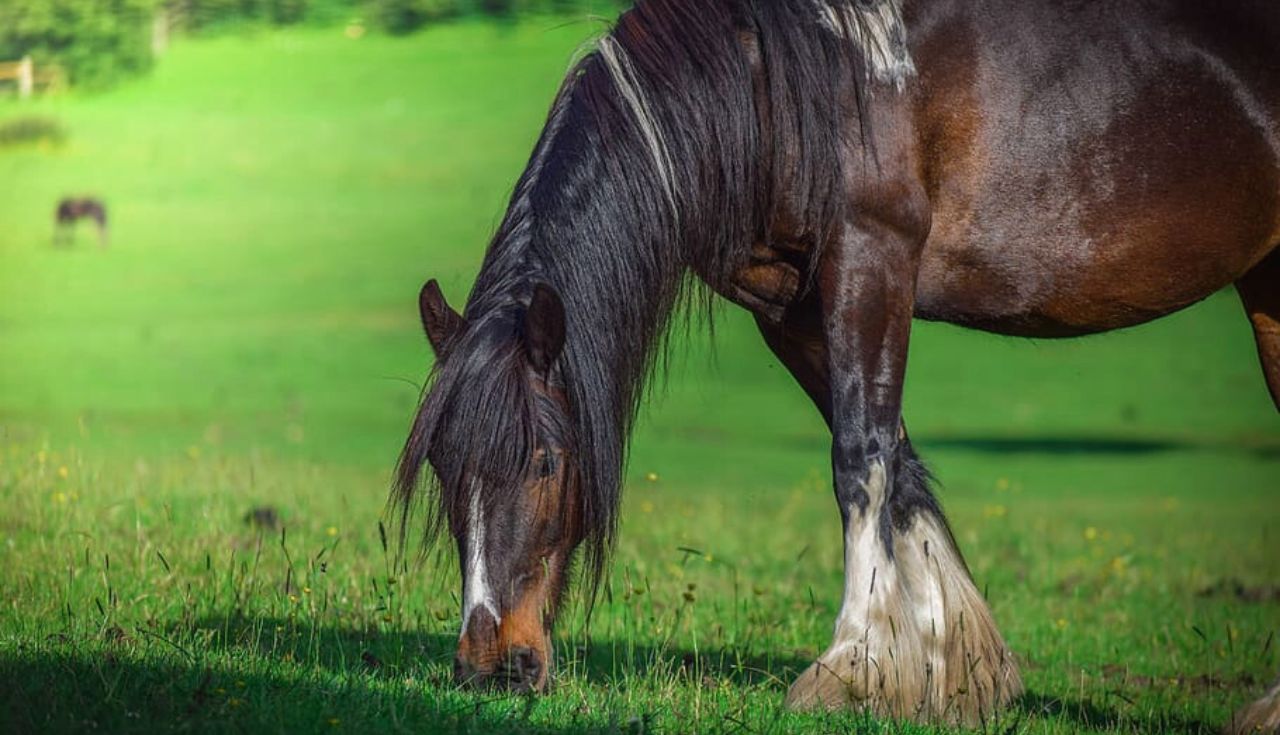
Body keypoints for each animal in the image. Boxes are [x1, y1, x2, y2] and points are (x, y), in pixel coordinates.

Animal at [391, 2, 1280, 732]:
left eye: (545, 460)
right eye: (442, 464)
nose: (490, 663)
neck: (784, 72)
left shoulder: (871, 255)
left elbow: (860, 456)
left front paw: (850, 665)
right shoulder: (790, 309)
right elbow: (898, 459)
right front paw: (953, 669)